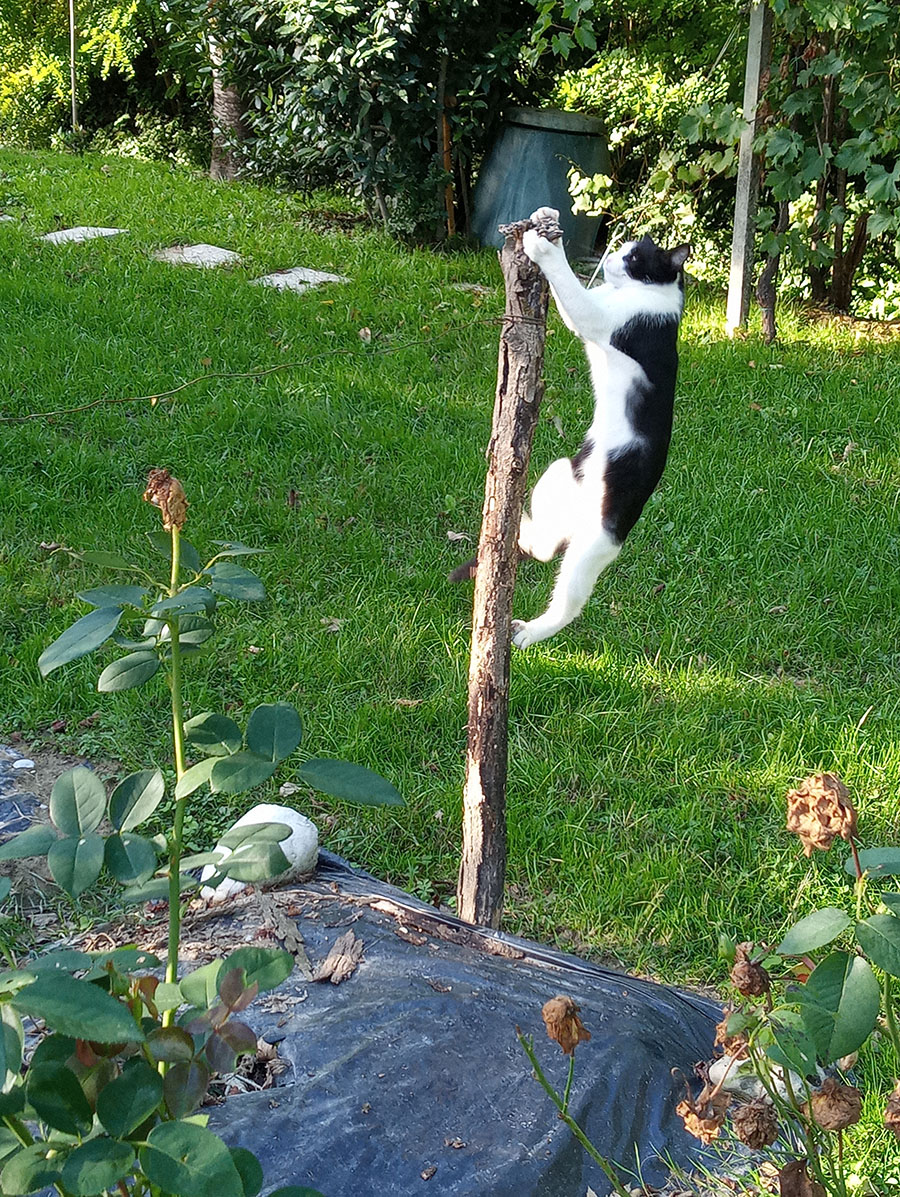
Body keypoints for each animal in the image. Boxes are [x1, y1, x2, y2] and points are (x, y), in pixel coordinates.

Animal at [451, 206, 690, 649]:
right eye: (625, 247)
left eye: (635, 258)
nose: (613, 256)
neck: (653, 296)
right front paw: (545, 223)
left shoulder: (597, 317)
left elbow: (567, 283)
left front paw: (543, 247)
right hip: (559, 473)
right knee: (547, 546)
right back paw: (525, 531)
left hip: (590, 548)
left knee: (568, 601)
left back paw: (529, 632)